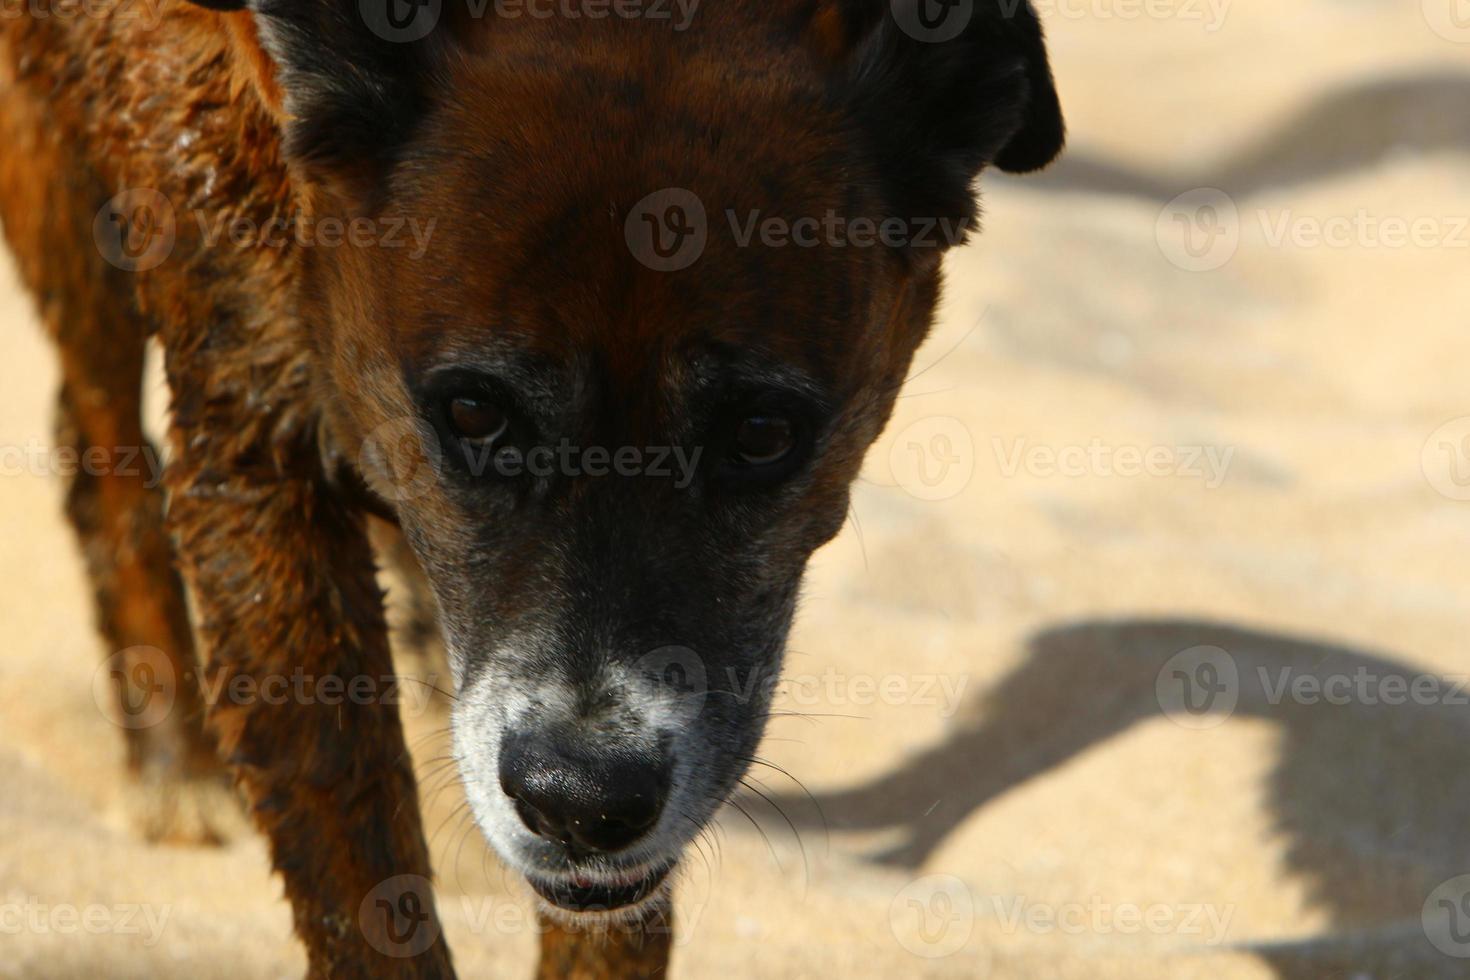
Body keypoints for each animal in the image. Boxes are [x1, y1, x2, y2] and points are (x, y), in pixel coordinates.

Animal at [0, 3, 1064, 975]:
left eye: (763, 433)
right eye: (472, 413)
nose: (580, 804)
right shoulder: (255, 462)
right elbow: (359, 875)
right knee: (94, 444)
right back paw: (174, 769)